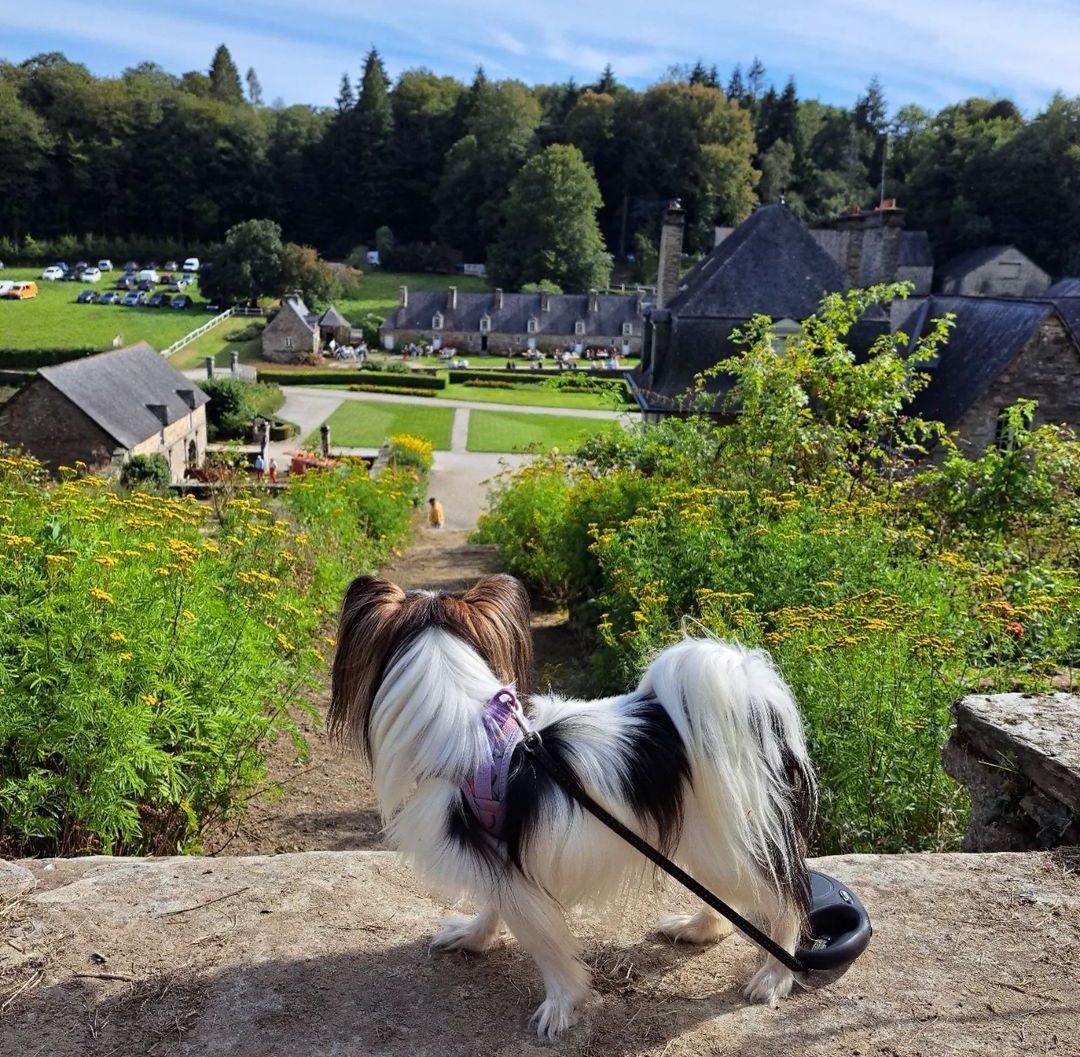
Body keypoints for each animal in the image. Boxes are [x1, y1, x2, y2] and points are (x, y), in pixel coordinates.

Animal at [330, 574, 816, 1036]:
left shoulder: (510, 868)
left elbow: (546, 947)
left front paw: (561, 1006)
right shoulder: (502, 858)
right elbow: (494, 902)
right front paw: (474, 936)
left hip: (723, 836)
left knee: (786, 897)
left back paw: (774, 975)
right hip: (706, 840)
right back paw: (697, 930)